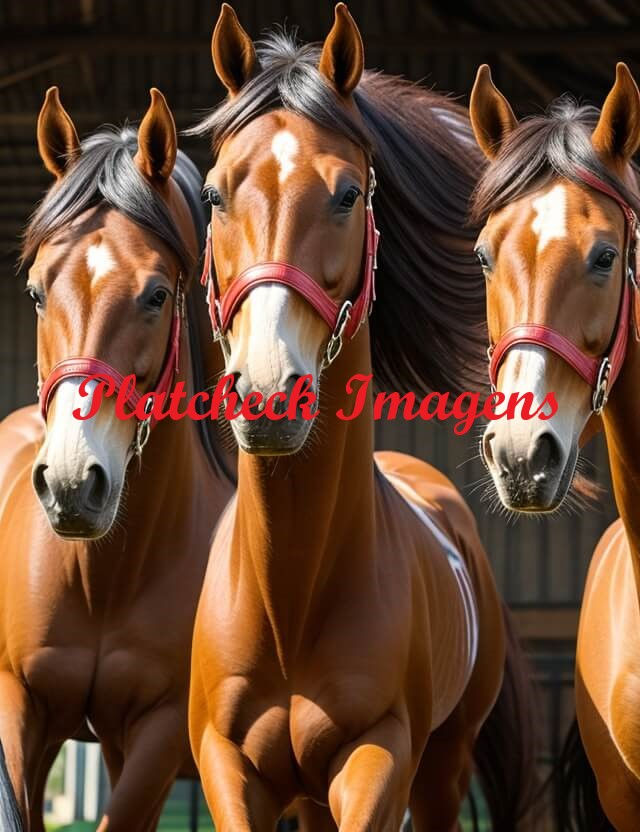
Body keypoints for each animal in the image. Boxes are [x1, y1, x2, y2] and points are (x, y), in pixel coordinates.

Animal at [0, 87, 234, 831]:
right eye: (38, 291)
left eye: (156, 295)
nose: (73, 484)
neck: (104, 577)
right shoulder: (17, 703)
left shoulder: (157, 735)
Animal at [187, 5, 538, 830]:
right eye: (215, 195)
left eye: (348, 194)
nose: (268, 392)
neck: (290, 598)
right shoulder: (226, 766)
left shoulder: (379, 758)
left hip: (443, 765)